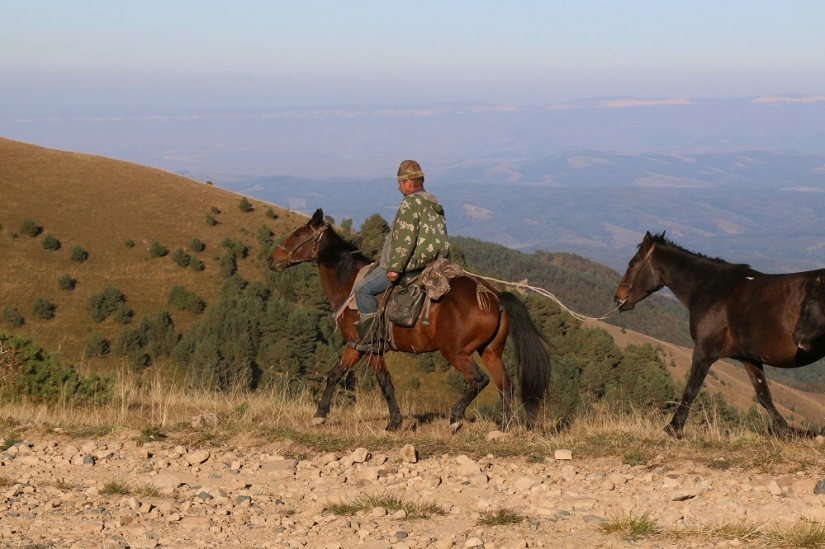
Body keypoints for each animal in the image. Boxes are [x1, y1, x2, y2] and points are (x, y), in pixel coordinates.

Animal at [270, 208, 552, 430]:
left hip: (456, 352)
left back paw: (456, 418)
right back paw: (504, 426)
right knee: (505, 384)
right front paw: (320, 414)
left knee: (478, 380)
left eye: (298, 235)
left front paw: (394, 422)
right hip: (490, 351)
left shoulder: (368, 348)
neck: (349, 285)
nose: (273, 259)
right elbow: (335, 374)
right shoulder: (355, 345)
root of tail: (493, 296)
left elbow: (384, 383)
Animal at [612, 231, 824, 436]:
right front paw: (784, 430)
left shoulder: (704, 352)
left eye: (632, 265)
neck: (710, 288)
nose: (618, 297)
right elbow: (764, 396)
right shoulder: (750, 359)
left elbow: (691, 390)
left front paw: (674, 428)